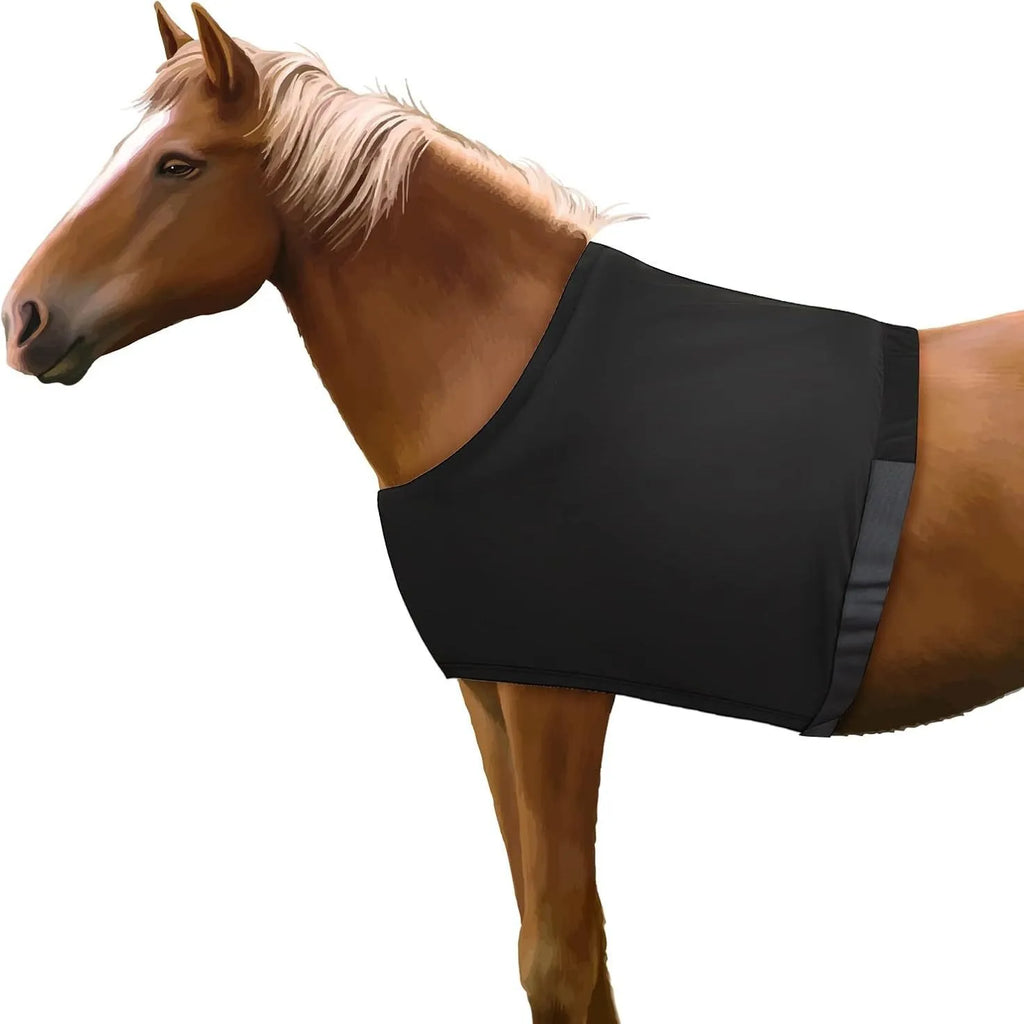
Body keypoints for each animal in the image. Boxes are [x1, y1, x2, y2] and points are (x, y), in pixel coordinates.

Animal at [6, 5, 1024, 1022]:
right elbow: (565, 947)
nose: (25, 319)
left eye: (177, 164)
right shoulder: (492, 692)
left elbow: (560, 956)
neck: (500, 374)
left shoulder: (557, 696)